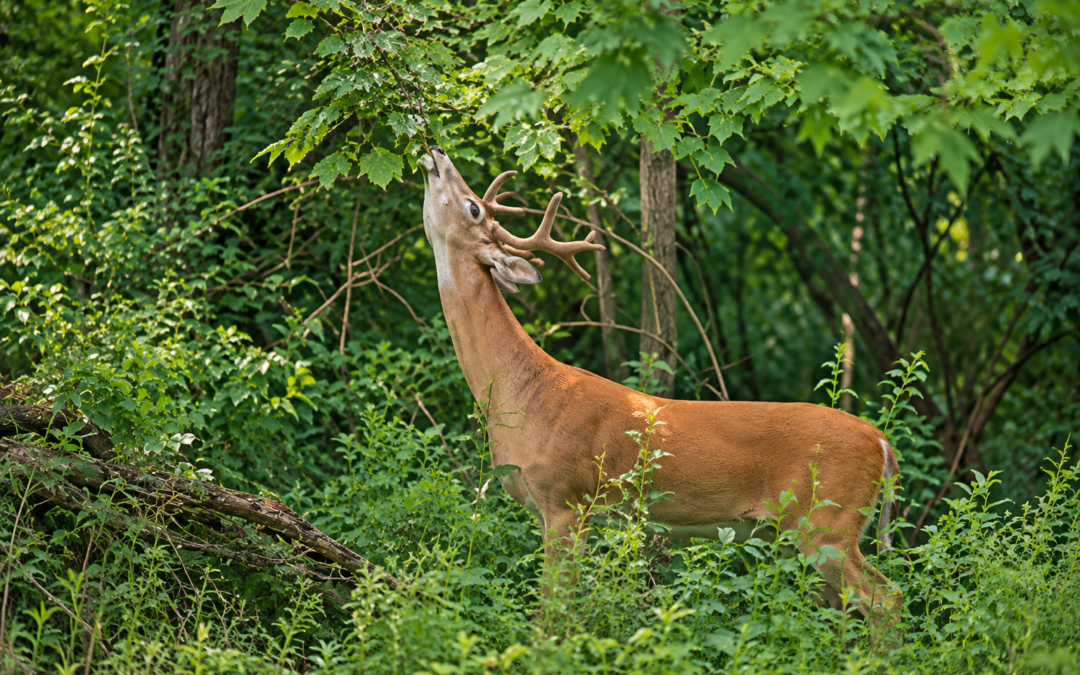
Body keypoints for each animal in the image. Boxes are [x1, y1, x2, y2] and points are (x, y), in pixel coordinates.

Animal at [418, 146, 902, 636]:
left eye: (473, 207)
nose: (436, 151)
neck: (520, 394)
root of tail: (881, 442)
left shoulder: (566, 499)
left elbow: (553, 610)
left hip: (827, 521)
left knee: (886, 599)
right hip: (801, 532)